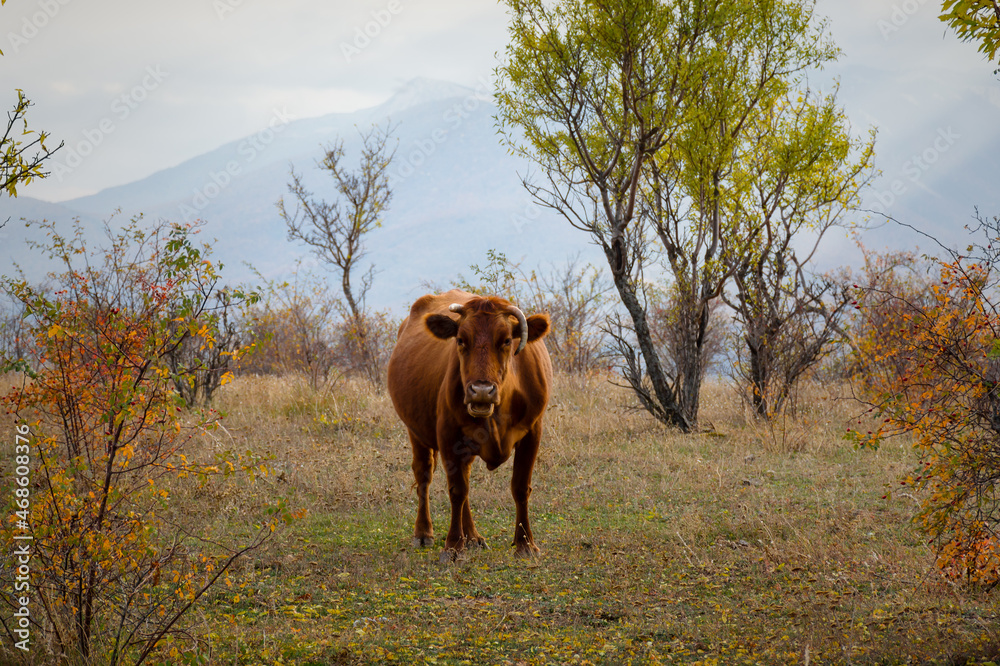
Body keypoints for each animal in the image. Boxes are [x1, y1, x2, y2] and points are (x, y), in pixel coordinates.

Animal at [387, 289, 552, 559]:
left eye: (507, 340)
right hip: (416, 432)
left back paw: (473, 536)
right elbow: (457, 490)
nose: (481, 391)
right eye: (461, 340)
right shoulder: (448, 434)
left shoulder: (532, 433)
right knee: (424, 476)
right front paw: (454, 545)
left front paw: (525, 543)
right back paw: (424, 533)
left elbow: (520, 487)